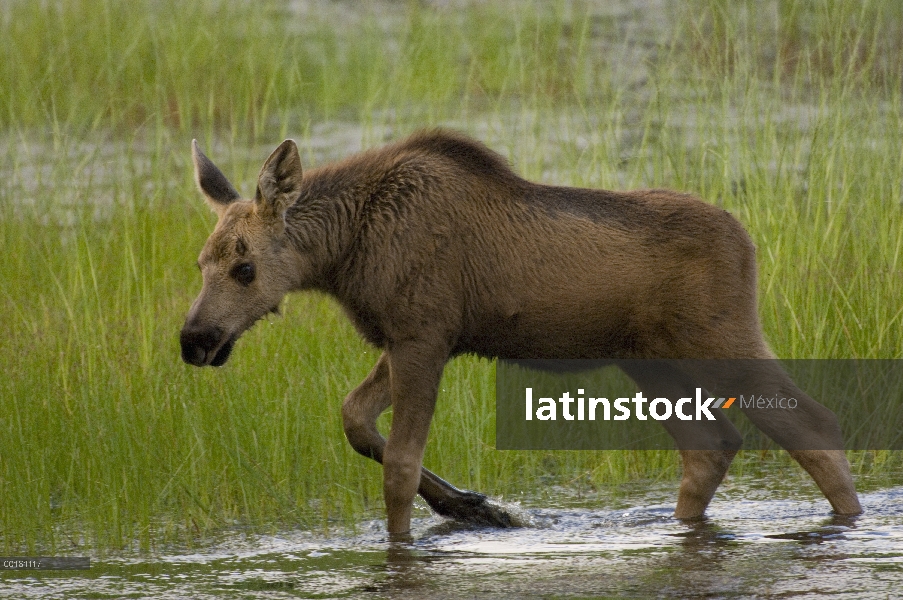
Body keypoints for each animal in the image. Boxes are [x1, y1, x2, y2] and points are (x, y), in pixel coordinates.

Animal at [182, 131, 860, 536]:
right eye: (200, 262)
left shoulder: (424, 337)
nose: (194, 339)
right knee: (711, 445)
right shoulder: (404, 338)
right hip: (650, 359)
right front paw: (471, 504)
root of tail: (747, 240)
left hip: (721, 337)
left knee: (813, 422)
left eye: (245, 268)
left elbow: (398, 464)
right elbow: (354, 418)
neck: (343, 254)